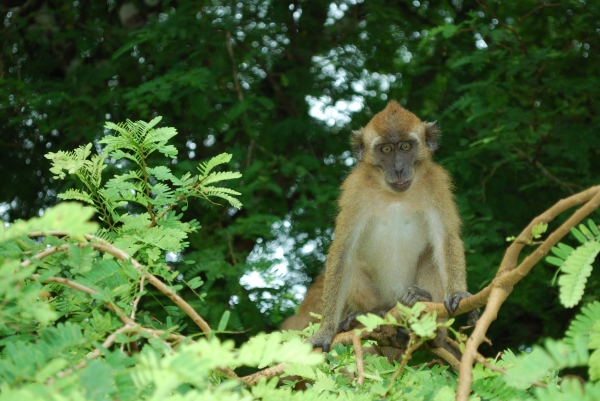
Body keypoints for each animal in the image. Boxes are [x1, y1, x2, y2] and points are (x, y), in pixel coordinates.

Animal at [308, 101, 476, 354]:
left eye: (406, 146)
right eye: (386, 149)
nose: (398, 168)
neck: (394, 194)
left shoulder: (436, 182)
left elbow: (445, 237)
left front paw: (458, 293)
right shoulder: (355, 188)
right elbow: (343, 249)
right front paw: (326, 329)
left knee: (432, 254)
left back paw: (425, 310)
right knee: (352, 260)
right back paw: (374, 313)